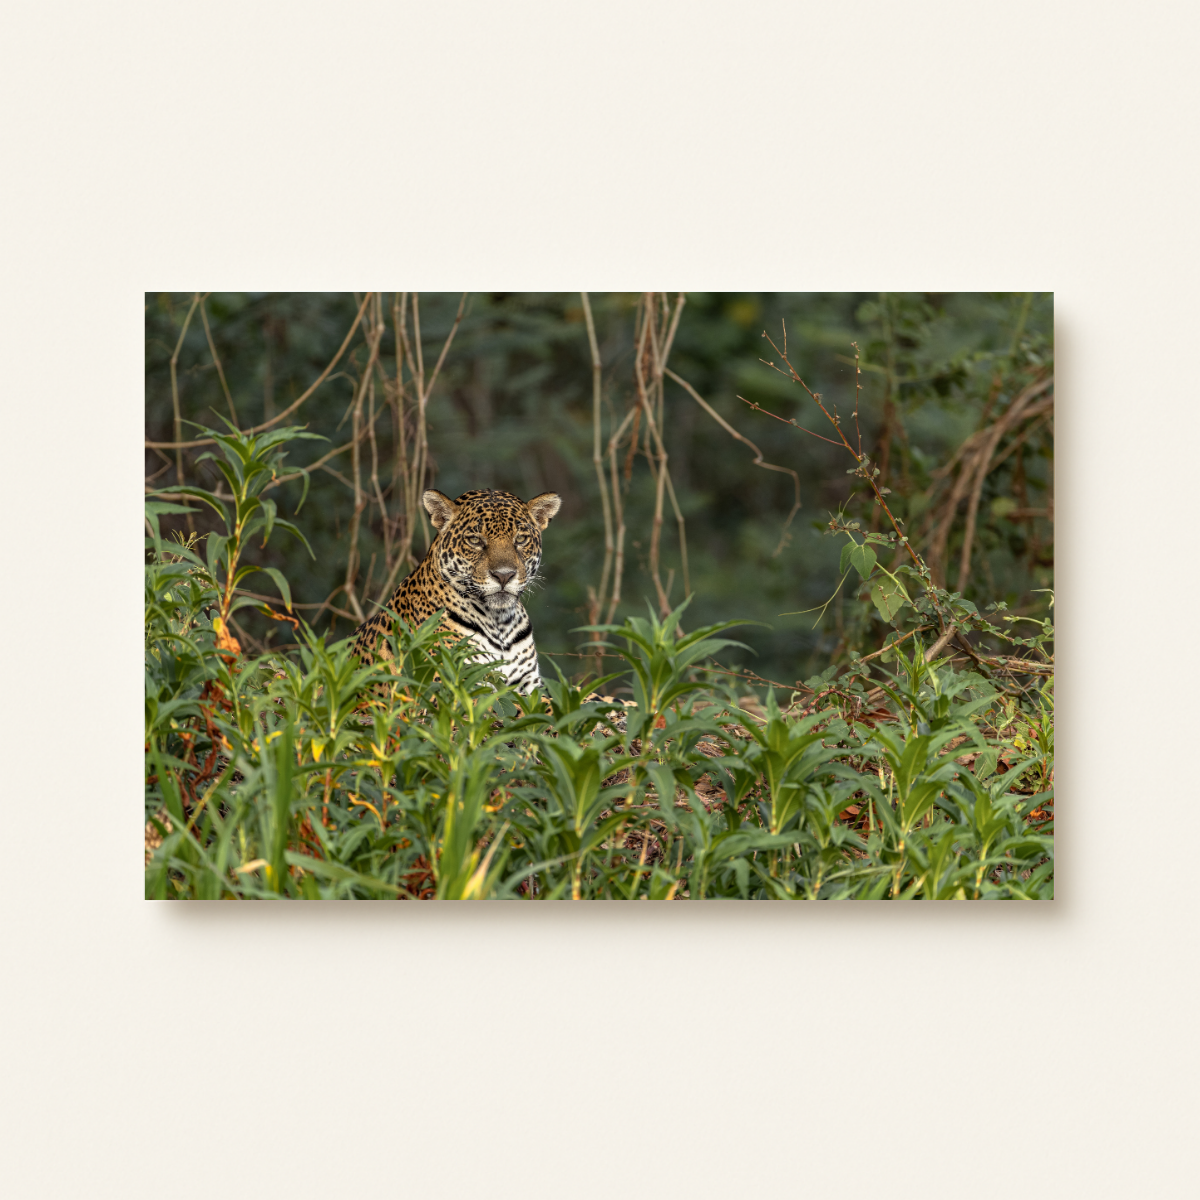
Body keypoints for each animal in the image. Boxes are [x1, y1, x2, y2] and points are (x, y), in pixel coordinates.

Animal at [351, 487, 562, 692]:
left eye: (521, 539)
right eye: (475, 540)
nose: (504, 575)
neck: (500, 622)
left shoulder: (529, 686)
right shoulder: (453, 684)